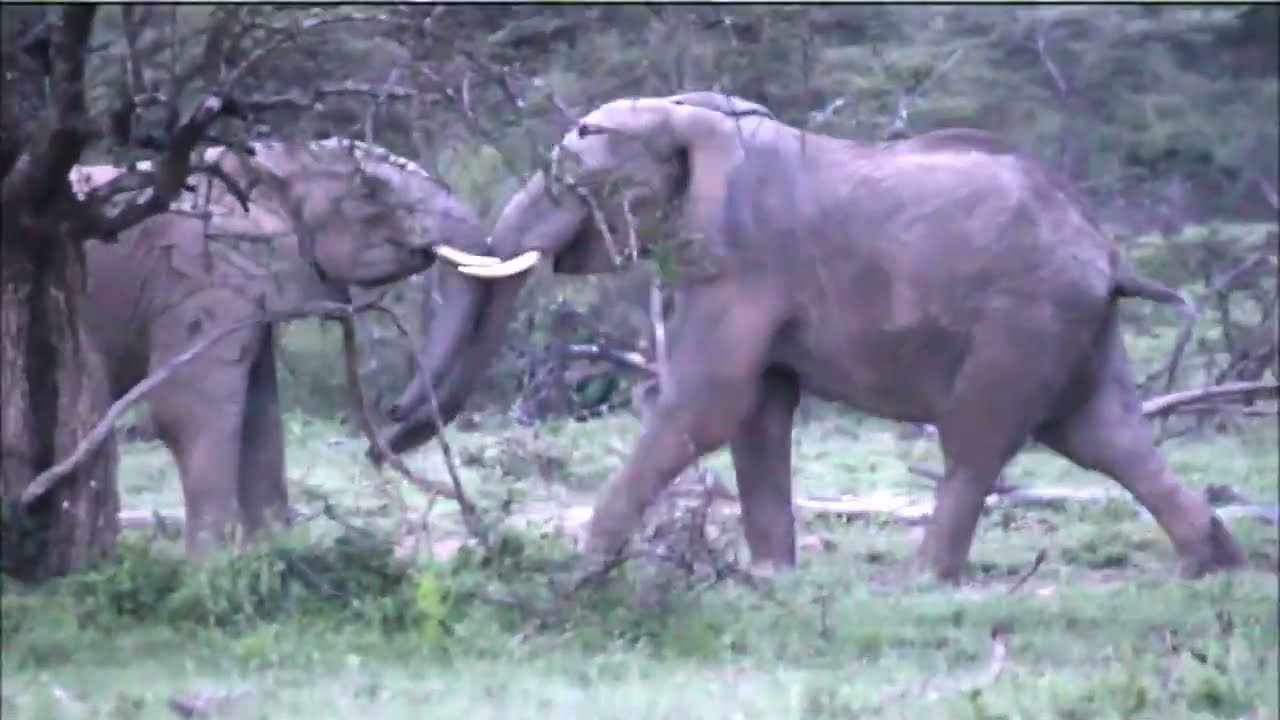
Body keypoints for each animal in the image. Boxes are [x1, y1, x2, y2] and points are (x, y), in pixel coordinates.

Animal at [74, 138, 487, 556]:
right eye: (369, 190)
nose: (394, 410)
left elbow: (262, 421)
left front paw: (273, 554)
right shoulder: (202, 282)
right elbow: (184, 414)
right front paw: (211, 567)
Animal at [375, 92, 1247, 582]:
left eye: (580, 174)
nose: (387, 425)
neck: (695, 117)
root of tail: (1108, 254)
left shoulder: (747, 257)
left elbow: (706, 402)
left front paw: (587, 564)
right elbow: (757, 414)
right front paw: (773, 577)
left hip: (1024, 319)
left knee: (979, 441)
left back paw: (921, 581)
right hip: (1073, 325)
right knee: (1104, 436)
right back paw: (1211, 564)